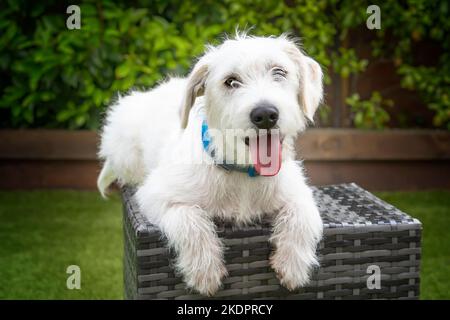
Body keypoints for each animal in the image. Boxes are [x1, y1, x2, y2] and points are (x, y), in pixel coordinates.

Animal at [98, 33, 324, 296]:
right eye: (231, 81)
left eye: (279, 72)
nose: (266, 115)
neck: (242, 173)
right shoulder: (155, 195)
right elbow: (190, 218)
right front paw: (204, 272)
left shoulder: (298, 192)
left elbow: (303, 215)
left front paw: (293, 265)